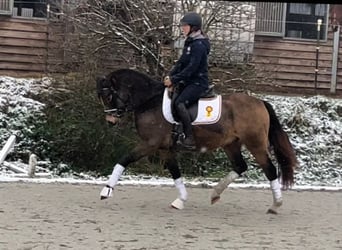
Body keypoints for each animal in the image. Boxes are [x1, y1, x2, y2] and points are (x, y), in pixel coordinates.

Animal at [95, 68, 296, 213]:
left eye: (108, 96)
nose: (110, 121)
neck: (149, 101)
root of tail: (260, 102)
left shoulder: (150, 144)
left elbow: (124, 160)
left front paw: (106, 191)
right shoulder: (165, 148)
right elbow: (175, 172)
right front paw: (180, 200)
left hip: (255, 143)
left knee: (269, 169)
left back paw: (275, 205)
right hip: (231, 144)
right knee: (240, 166)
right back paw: (215, 194)